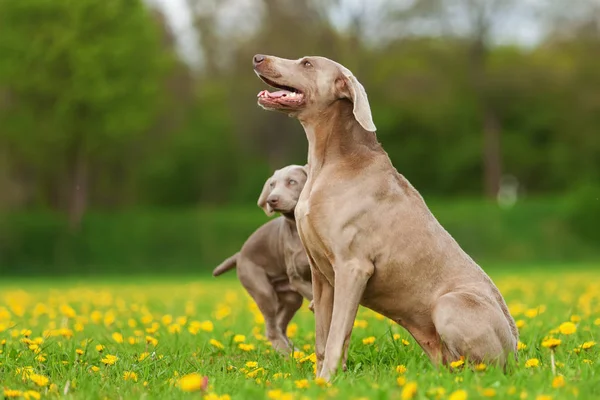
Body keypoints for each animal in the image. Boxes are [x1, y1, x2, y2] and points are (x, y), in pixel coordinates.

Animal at [212, 165, 314, 354]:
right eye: (272, 185)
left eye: (292, 182)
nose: (271, 199)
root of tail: (240, 255)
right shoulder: (297, 278)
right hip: (262, 288)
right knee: (271, 328)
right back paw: (287, 353)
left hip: (290, 297)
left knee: (280, 324)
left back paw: (292, 352)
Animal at [251, 54, 516, 380]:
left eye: (307, 63)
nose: (258, 57)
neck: (328, 161)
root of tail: (517, 351)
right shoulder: (320, 274)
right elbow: (322, 338)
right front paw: (318, 381)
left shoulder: (353, 267)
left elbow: (338, 334)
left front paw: (327, 381)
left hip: (450, 304)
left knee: (482, 369)